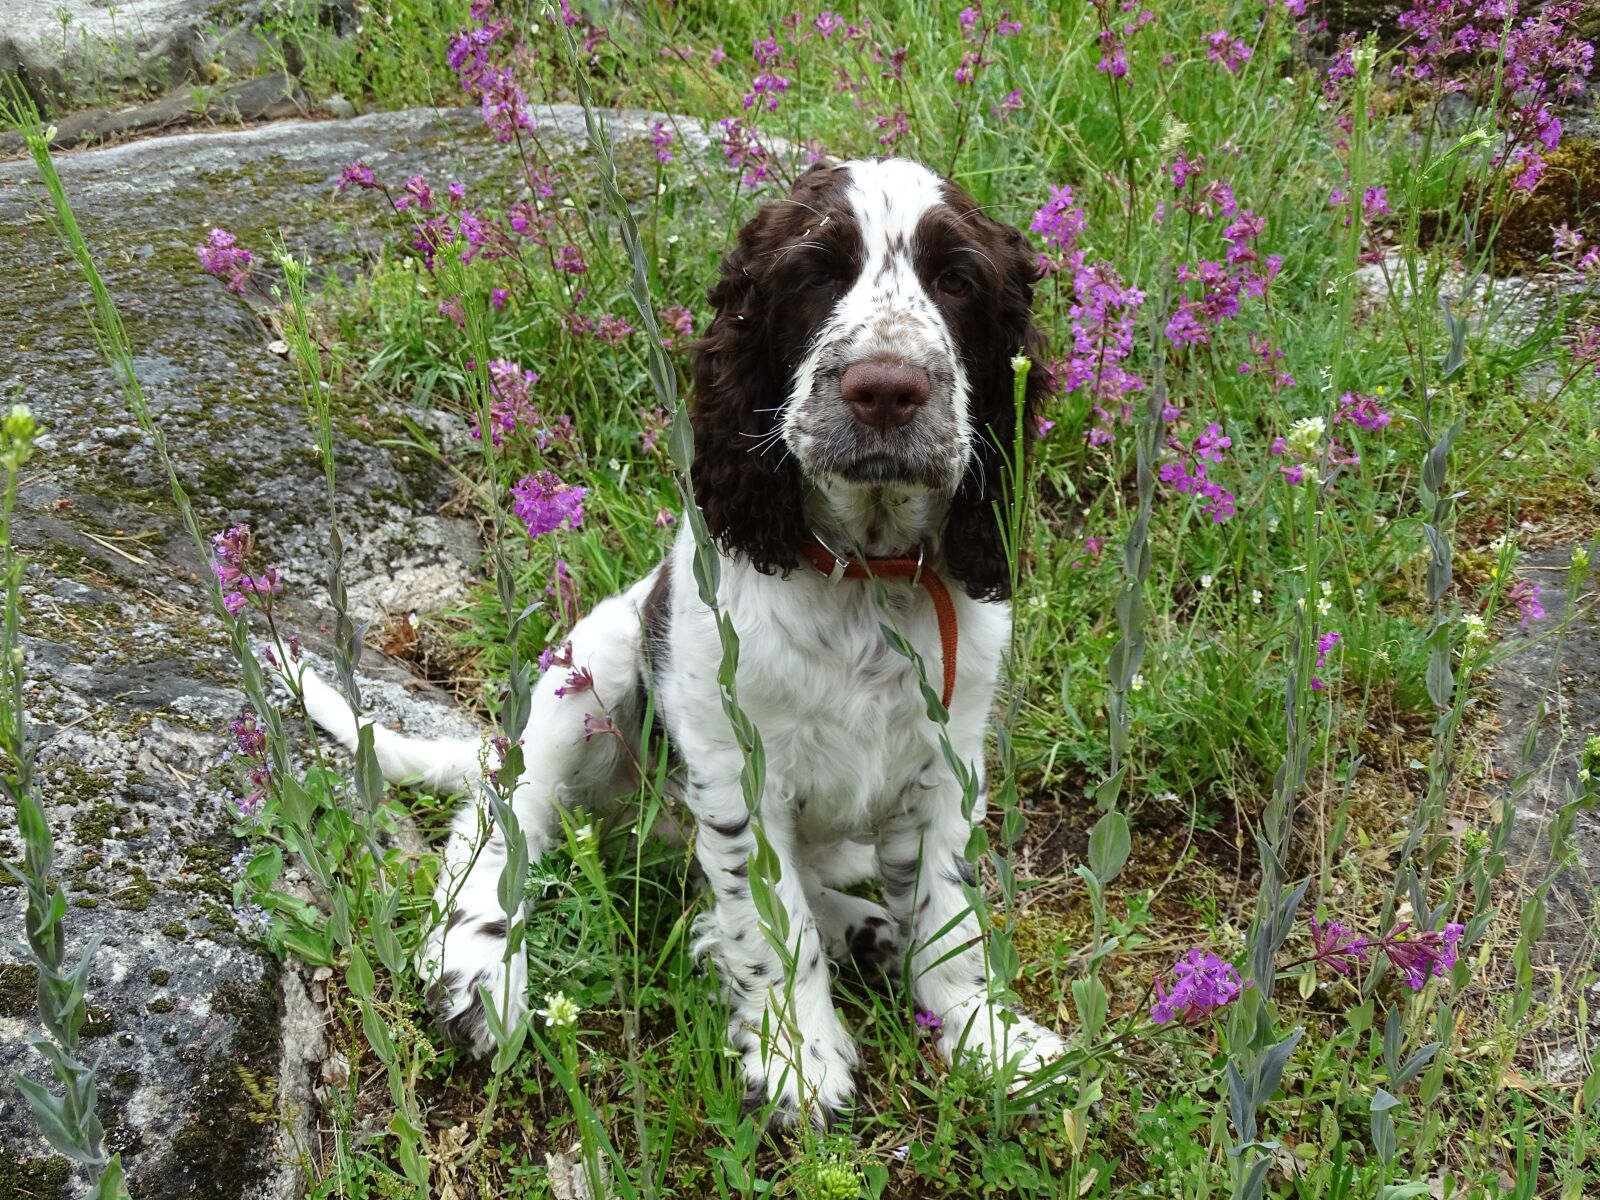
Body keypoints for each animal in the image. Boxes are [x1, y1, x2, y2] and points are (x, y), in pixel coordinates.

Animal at [291, 157, 1062, 1126]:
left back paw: (865, 932)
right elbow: (772, 922)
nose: (885, 389)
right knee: (504, 820)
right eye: (814, 275)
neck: (863, 574)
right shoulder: (739, 769)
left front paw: (981, 1031)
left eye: (958, 282)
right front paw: (799, 1056)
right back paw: (482, 964)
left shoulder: (949, 760)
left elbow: (944, 912)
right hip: (591, 671)